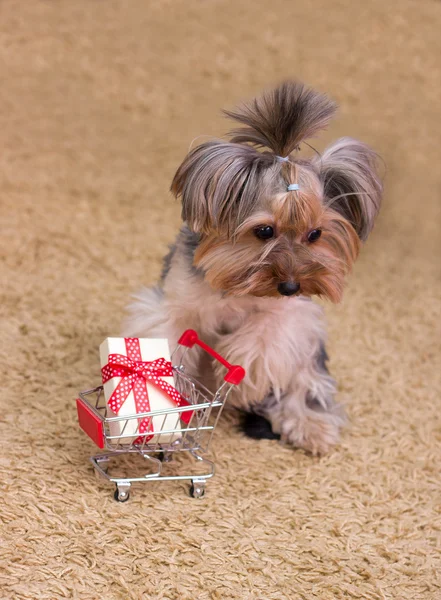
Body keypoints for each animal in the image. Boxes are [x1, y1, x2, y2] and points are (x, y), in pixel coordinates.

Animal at [124, 81, 382, 454]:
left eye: (315, 234)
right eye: (264, 231)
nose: (291, 286)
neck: (239, 286)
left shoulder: (291, 316)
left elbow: (263, 338)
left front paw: (243, 382)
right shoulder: (172, 307)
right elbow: (168, 345)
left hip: (310, 348)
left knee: (307, 384)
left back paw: (310, 426)